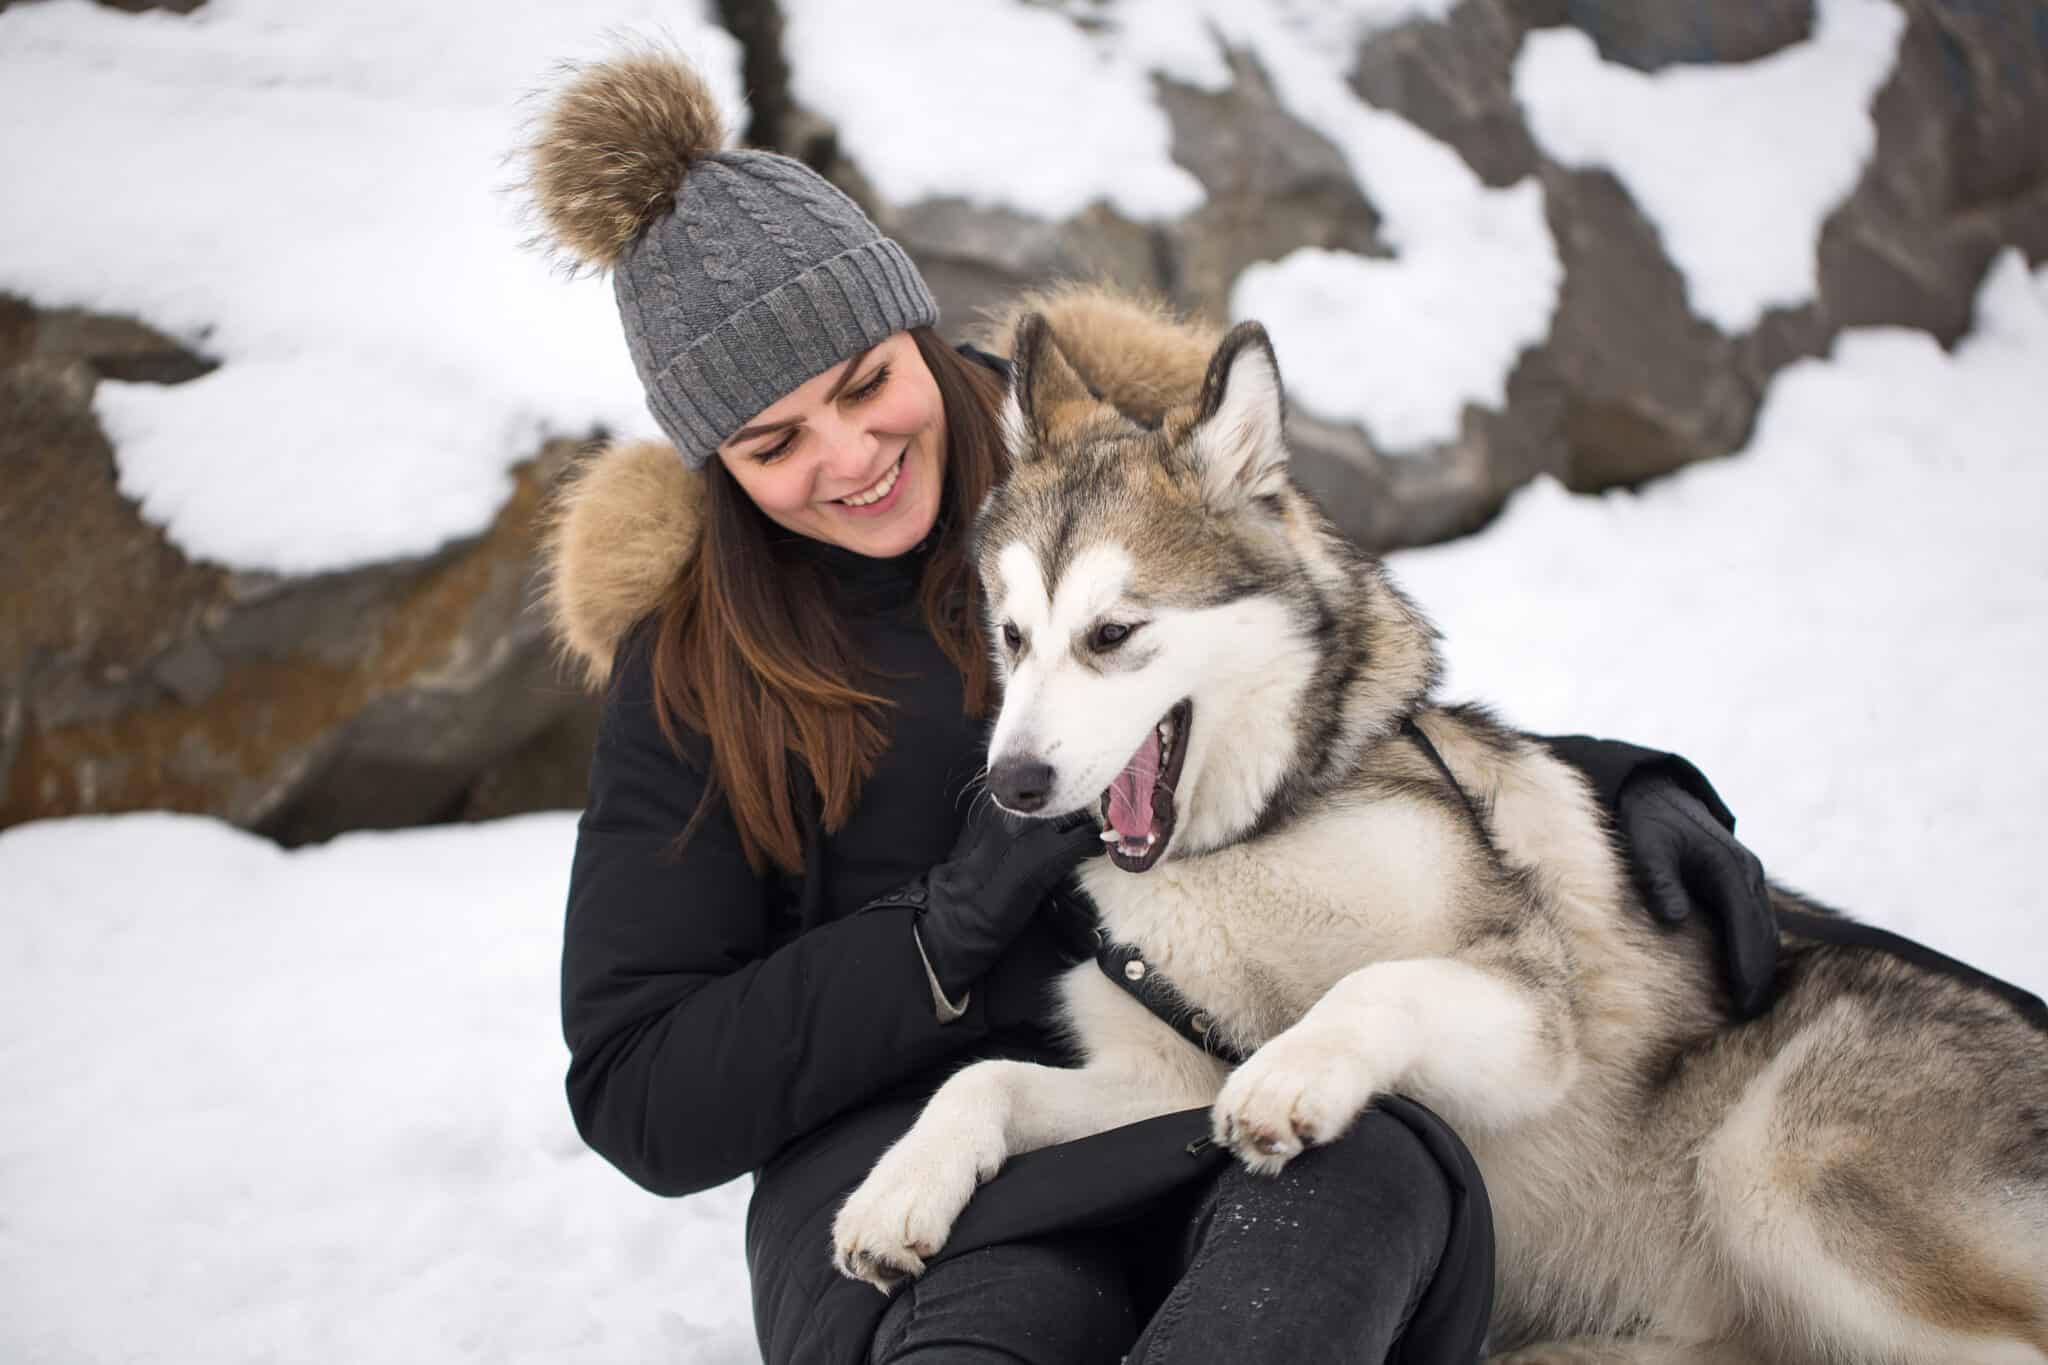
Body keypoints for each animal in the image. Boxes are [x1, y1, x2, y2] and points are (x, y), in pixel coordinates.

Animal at [831, 294, 2048, 1358]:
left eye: (1113, 633)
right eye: (1011, 633)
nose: (1015, 786)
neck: (1247, 846)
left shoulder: (1525, 1010)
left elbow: (1376, 986)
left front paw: (1294, 1075)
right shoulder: (1161, 1080)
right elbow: (979, 1078)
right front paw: (899, 1187)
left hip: (1775, 1174)